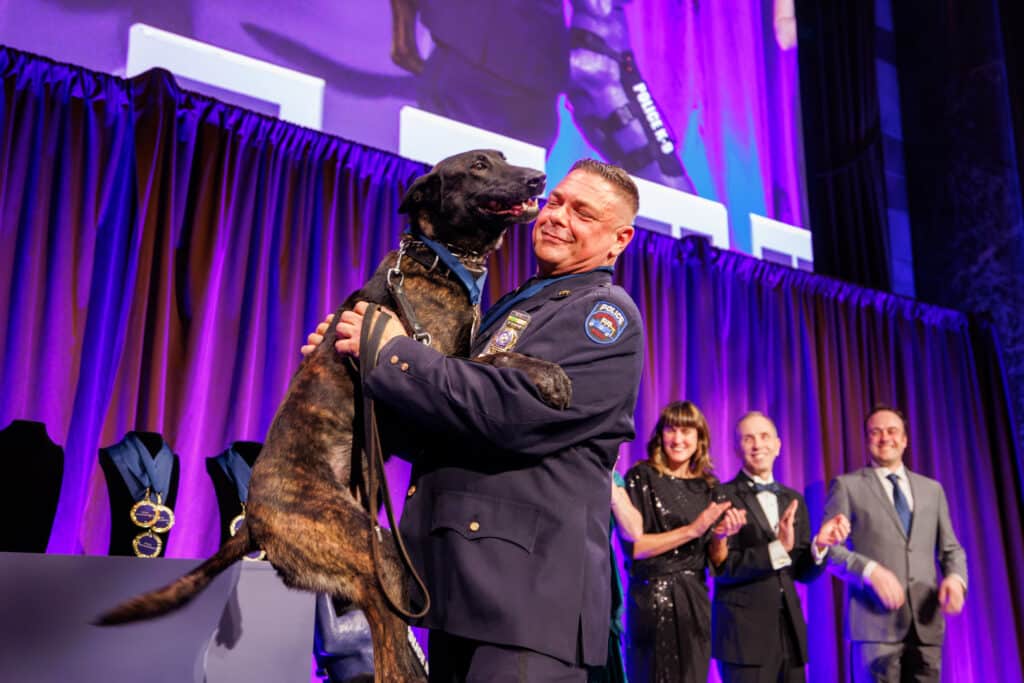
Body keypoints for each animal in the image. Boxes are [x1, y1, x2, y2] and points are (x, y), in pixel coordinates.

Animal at [96, 152, 573, 679]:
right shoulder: (435, 361)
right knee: (391, 657)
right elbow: (495, 358)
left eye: (504, 159)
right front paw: (548, 374)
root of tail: (255, 525)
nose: (538, 179)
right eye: (480, 165)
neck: (438, 260)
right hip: (373, 559)